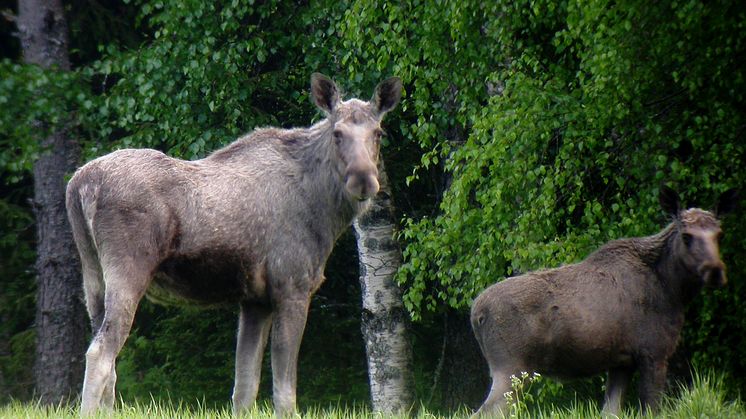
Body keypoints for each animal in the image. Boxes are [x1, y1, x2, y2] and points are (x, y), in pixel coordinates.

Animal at [65, 74, 402, 416]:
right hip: (128, 272)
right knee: (100, 353)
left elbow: (244, 388)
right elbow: (284, 392)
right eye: (337, 133)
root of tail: (79, 184)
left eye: (378, 132)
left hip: (93, 279)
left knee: (108, 355)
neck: (327, 212)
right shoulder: (292, 288)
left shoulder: (255, 301)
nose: (363, 179)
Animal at [470, 188, 740, 416]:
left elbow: (611, 411)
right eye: (686, 236)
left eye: (720, 234)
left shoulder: (622, 364)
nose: (715, 271)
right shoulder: (654, 353)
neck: (674, 289)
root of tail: (475, 314)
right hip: (511, 368)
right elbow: (651, 409)